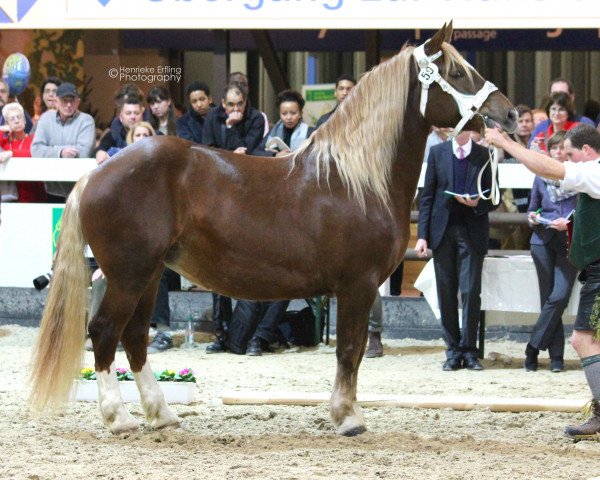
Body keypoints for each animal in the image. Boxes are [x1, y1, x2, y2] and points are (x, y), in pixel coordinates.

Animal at [28, 21, 516, 436]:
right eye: (458, 72)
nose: (509, 116)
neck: (355, 179)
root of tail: (96, 173)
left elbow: (354, 351)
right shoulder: (356, 285)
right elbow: (349, 350)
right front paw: (348, 418)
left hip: (147, 276)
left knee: (133, 337)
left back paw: (161, 414)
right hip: (129, 275)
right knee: (104, 332)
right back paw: (119, 418)